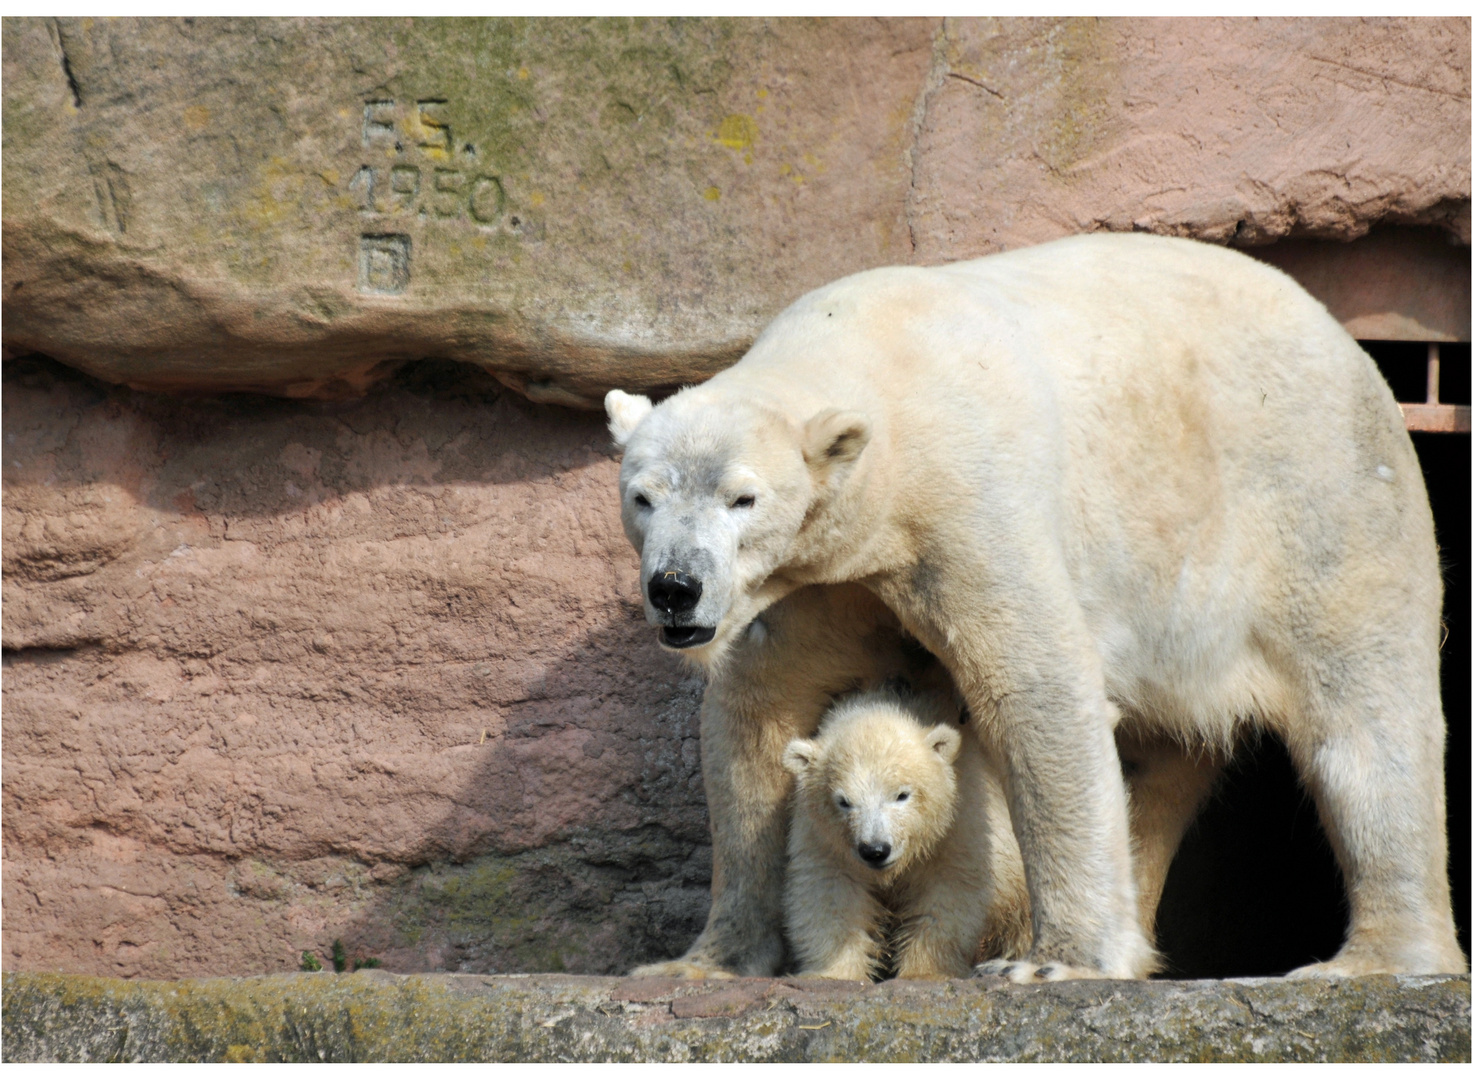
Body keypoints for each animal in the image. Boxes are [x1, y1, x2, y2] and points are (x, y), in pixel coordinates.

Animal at [600, 234, 1461, 978]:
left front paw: (1052, 963)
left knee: (1366, 721)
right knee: (1157, 760)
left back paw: (1378, 958)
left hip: (1320, 497)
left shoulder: (969, 505)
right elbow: (757, 716)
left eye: (742, 498)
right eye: (642, 497)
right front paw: (702, 962)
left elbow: (1036, 690)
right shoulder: (825, 574)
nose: (674, 586)